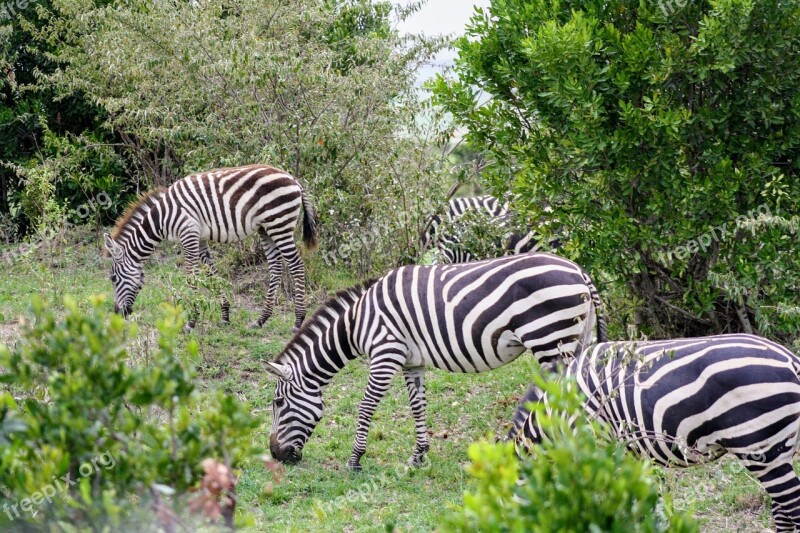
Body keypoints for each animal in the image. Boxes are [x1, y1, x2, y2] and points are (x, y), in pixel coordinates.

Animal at [103, 163, 318, 328]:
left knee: (296, 265)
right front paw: (225, 315)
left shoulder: (188, 234)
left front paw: (191, 322)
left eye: (113, 278)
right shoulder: (200, 239)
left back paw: (299, 320)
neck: (161, 219)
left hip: (279, 224)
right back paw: (261, 320)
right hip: (266, 229)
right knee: (275, 267)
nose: (118, 314)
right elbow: (212, 273)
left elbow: (191, 277)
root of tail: (293, 179)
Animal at [264, 254, 608, 470]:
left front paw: (354, 460)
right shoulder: (410, 361)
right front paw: (418, 456)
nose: (276, 455)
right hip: (575, 340)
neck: (357, 322)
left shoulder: (385, 354)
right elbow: (418, 406)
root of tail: (580, 271)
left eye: (278, 403)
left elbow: (366, 406)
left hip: (550, 339)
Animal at [510, 334, 800, 528]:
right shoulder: (629, 453)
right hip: (781, 449)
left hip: (761, 449)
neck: (555, 415)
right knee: (783, 513)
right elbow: (643, 499)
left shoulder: (595, 445)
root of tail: (792, 360)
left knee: (792, 508)